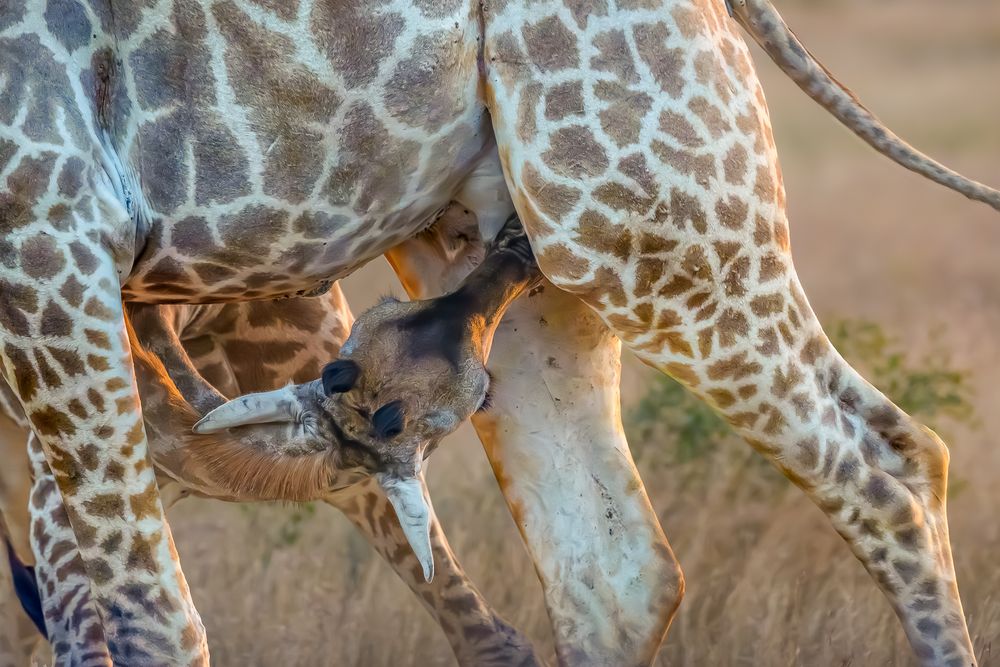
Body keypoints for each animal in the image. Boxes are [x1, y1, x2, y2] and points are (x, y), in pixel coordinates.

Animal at [1, 0, 997, 665]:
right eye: (350, 371)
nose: (505, 262)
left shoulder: (50, 235)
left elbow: (147, 624)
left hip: (650, 224)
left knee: (889, 467)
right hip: (543, 253)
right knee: (619, 570)